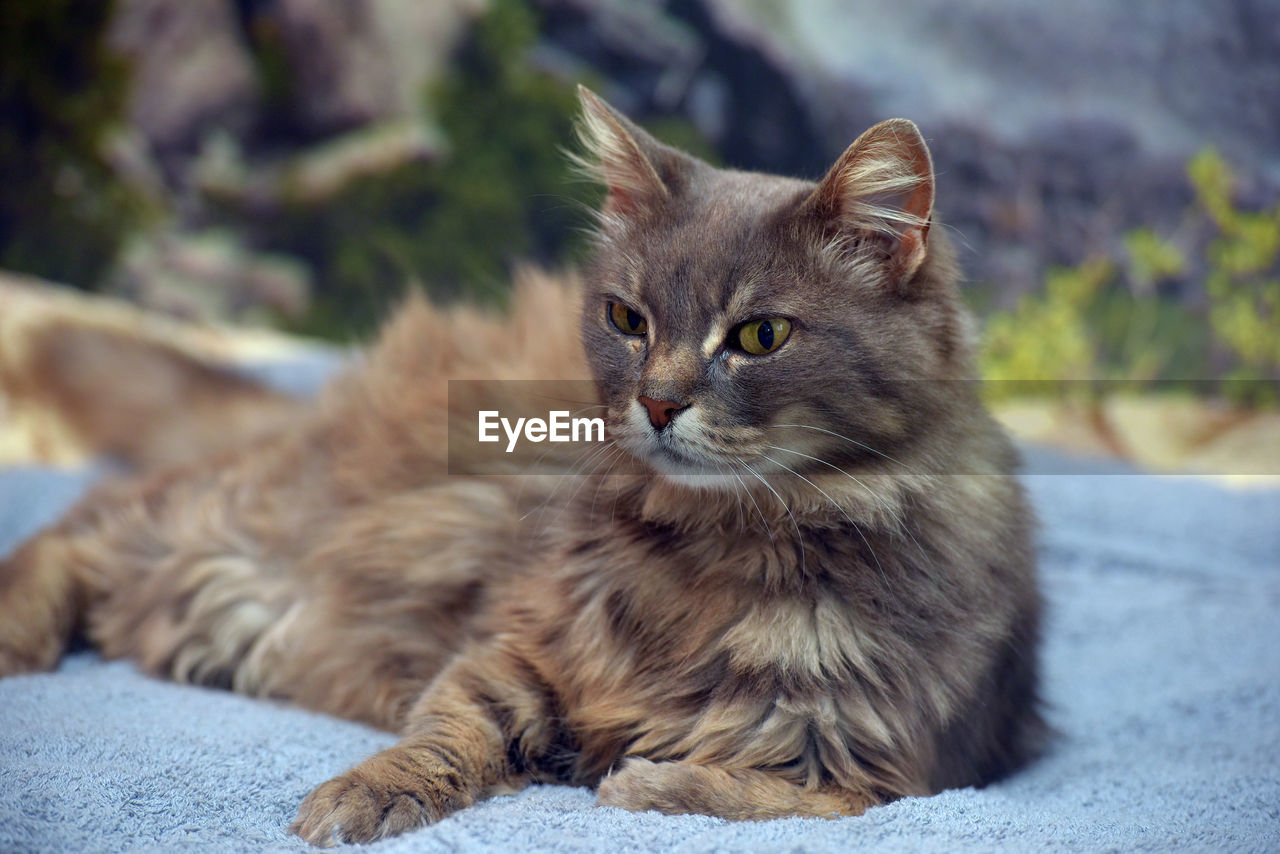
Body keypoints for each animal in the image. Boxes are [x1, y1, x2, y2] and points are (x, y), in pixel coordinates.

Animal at [0, 88, 1039, 850]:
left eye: (760, 336)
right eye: (627, 320)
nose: (658, 403)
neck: (721, 548)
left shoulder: (884, 770)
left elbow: (736, 791)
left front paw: (638, 781)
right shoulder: (515, 646)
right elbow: (443, 733)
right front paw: (359, 796)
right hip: (247, 541)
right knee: (91, 519)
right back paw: (17, 636)